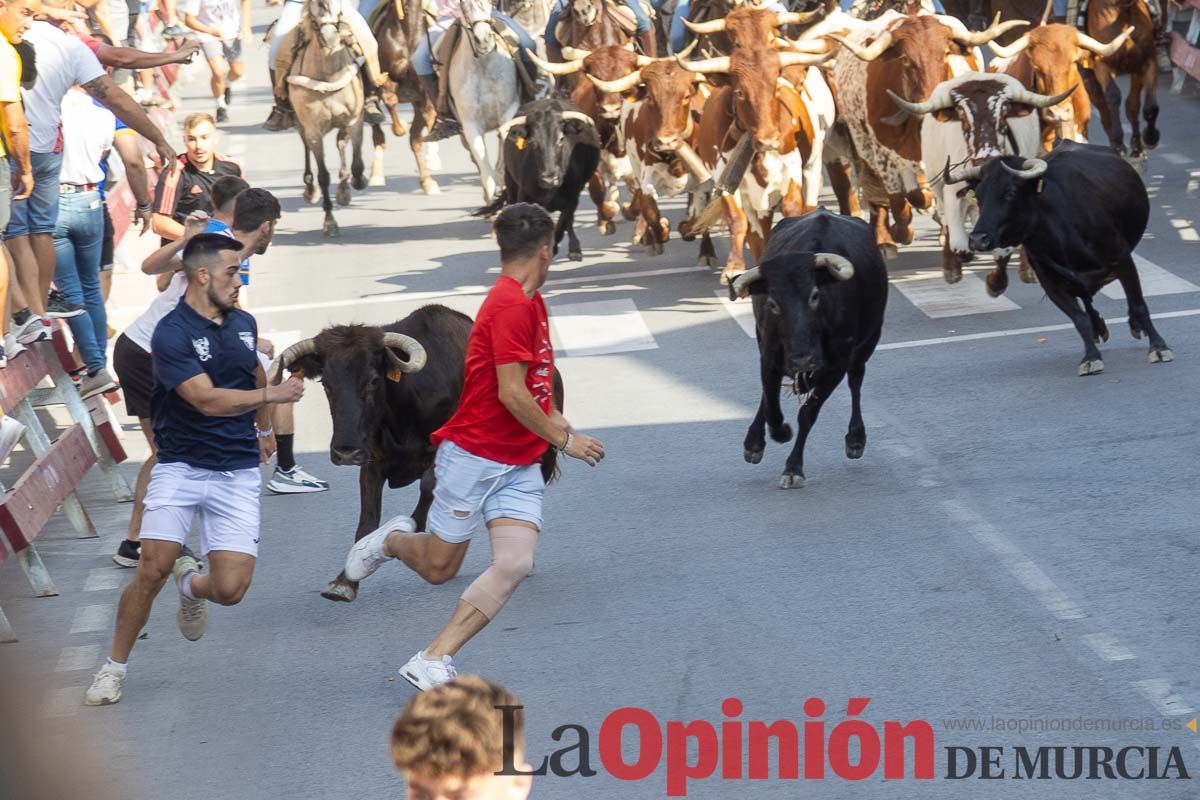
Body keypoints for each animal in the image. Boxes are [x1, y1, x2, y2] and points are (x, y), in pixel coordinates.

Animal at [274, 303, 564, 604]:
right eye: (327, 384)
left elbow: (425, 495)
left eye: (373, 380)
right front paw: (346, 581)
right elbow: (367, 521)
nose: (345, 451)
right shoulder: (372, 463)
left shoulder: (439, 455)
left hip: (542, 459)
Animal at [288, 0, 367, 236]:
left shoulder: (354, 120)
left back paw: (344, 188)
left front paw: (357, 181)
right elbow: (323, 175)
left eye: (339, 13)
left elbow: (357, 164)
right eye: (314, 19)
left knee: (341, 143)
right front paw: (329, 221)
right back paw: (310, 188)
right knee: (307, 147)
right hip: (301, 124)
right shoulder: (313, 129)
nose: (331, 38)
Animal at [369, 0, 441, 194]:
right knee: (377, 131)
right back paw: (376, 175)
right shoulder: (385, 78)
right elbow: (390, 99)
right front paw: (399, 127)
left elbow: (428, 116)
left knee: (415, 139)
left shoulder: (423, 89)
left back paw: (428, 181)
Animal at [729, 208, 892, 489]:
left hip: (867, 344)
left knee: (856, 381)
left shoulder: (836, 365)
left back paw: (856, 439)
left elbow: (808, 413)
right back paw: (755, 442)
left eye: (815, 295)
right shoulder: (768, 356)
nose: (803, 360)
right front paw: (773, 436)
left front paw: (793, 467)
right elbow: (770, 404)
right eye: (773, 303)